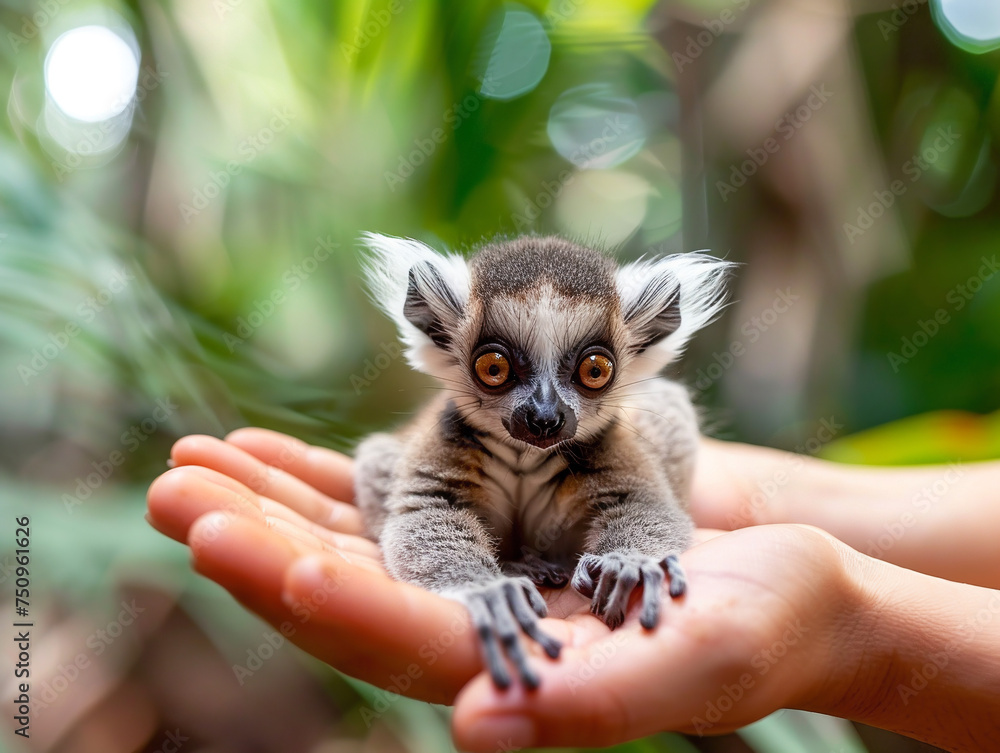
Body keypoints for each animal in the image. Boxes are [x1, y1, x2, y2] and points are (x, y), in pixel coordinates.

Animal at [353, 233, 732, 689]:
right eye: (494, 367)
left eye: (594, 370)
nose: (544, 418)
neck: (527, 454)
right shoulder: (449, 437)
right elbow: (429, 508)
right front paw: (488, 591)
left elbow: (645, 504)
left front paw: (627, 563)